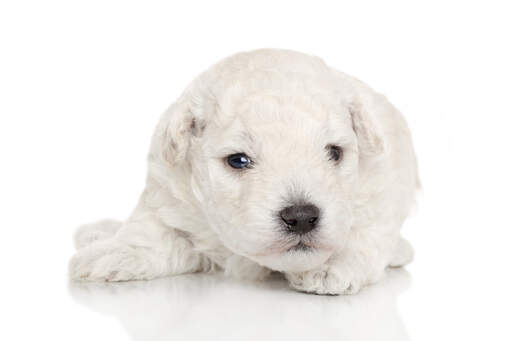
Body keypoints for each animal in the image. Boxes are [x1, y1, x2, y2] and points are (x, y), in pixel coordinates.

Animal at [69, 49, 420, 294]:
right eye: (238, 160)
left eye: (334, 152)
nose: (301, 217)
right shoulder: (168, 189)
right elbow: (151, 231)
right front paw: (116, 252)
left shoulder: (386, 185)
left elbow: (365, 232)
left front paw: (331, 266)